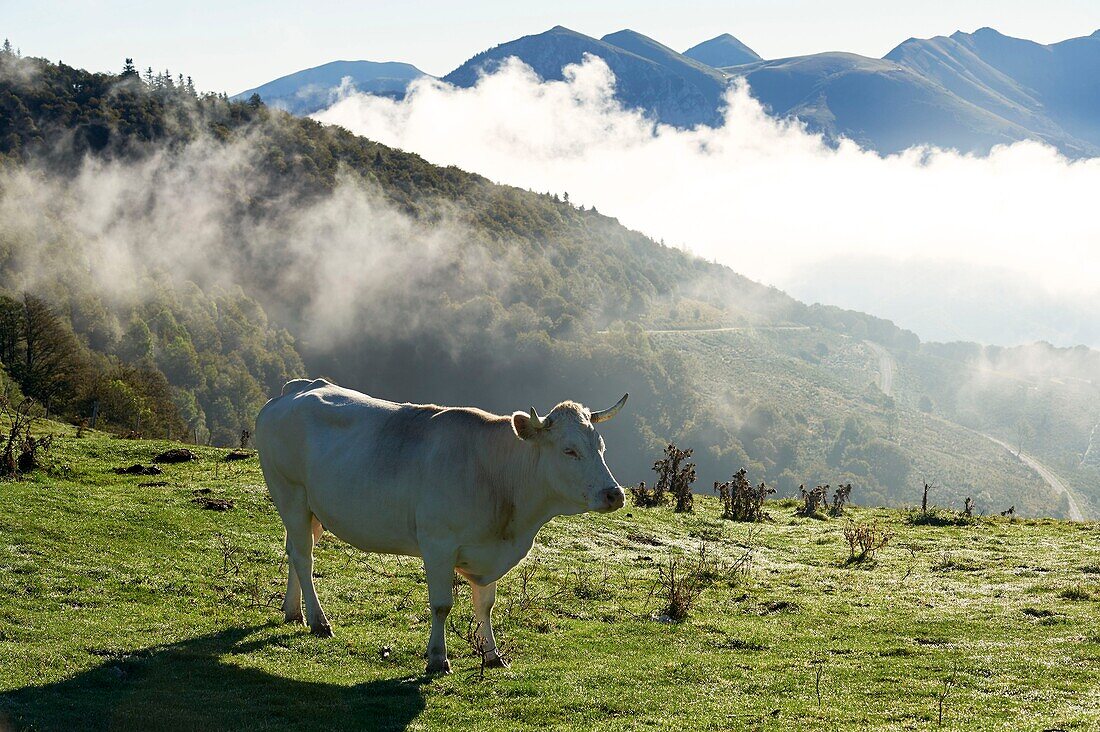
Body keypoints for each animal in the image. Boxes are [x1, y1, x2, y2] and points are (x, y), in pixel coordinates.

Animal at [251, 378, 629, 669]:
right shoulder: (438, 544)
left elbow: (485, 604)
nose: (614, 494)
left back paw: (292, 611)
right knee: (304, 557)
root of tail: (299, 387)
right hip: (289, 492)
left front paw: (492, 656)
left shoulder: (488, 550)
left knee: (294, 550)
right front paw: (437, 658)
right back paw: (318, 621)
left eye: (601, 447)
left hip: (312, 509)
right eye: (569, 451)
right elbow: (442, 605)